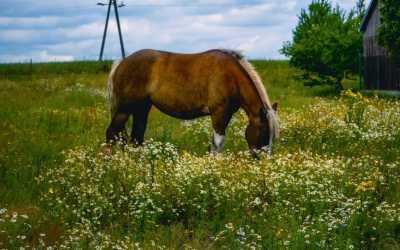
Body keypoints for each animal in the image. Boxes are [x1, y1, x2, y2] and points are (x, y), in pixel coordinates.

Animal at [108, 48, 280, 154]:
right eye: (264, 132)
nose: (264, 160)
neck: (230, 77)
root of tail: (122, 61)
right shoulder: (219, 113)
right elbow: (217, 143)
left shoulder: (226, 114)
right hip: (124, 109)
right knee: (111, 134)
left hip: (142, 108)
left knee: (136, 138)